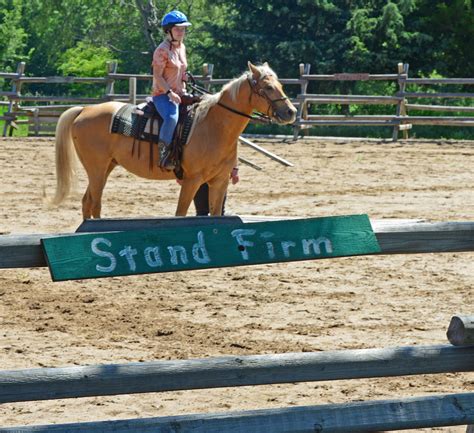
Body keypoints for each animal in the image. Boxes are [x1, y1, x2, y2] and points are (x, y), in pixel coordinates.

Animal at [52, 62, 296, 218]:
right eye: (267, 87)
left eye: (281, 85)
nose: (291, 112)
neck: (214, 126)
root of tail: (84, 110)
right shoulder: (192, 181)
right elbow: (180, 213)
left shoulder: (220, 181)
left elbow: (216, 214)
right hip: (96, 169)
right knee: (94, 203)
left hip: (106, 167)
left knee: (88, 203)